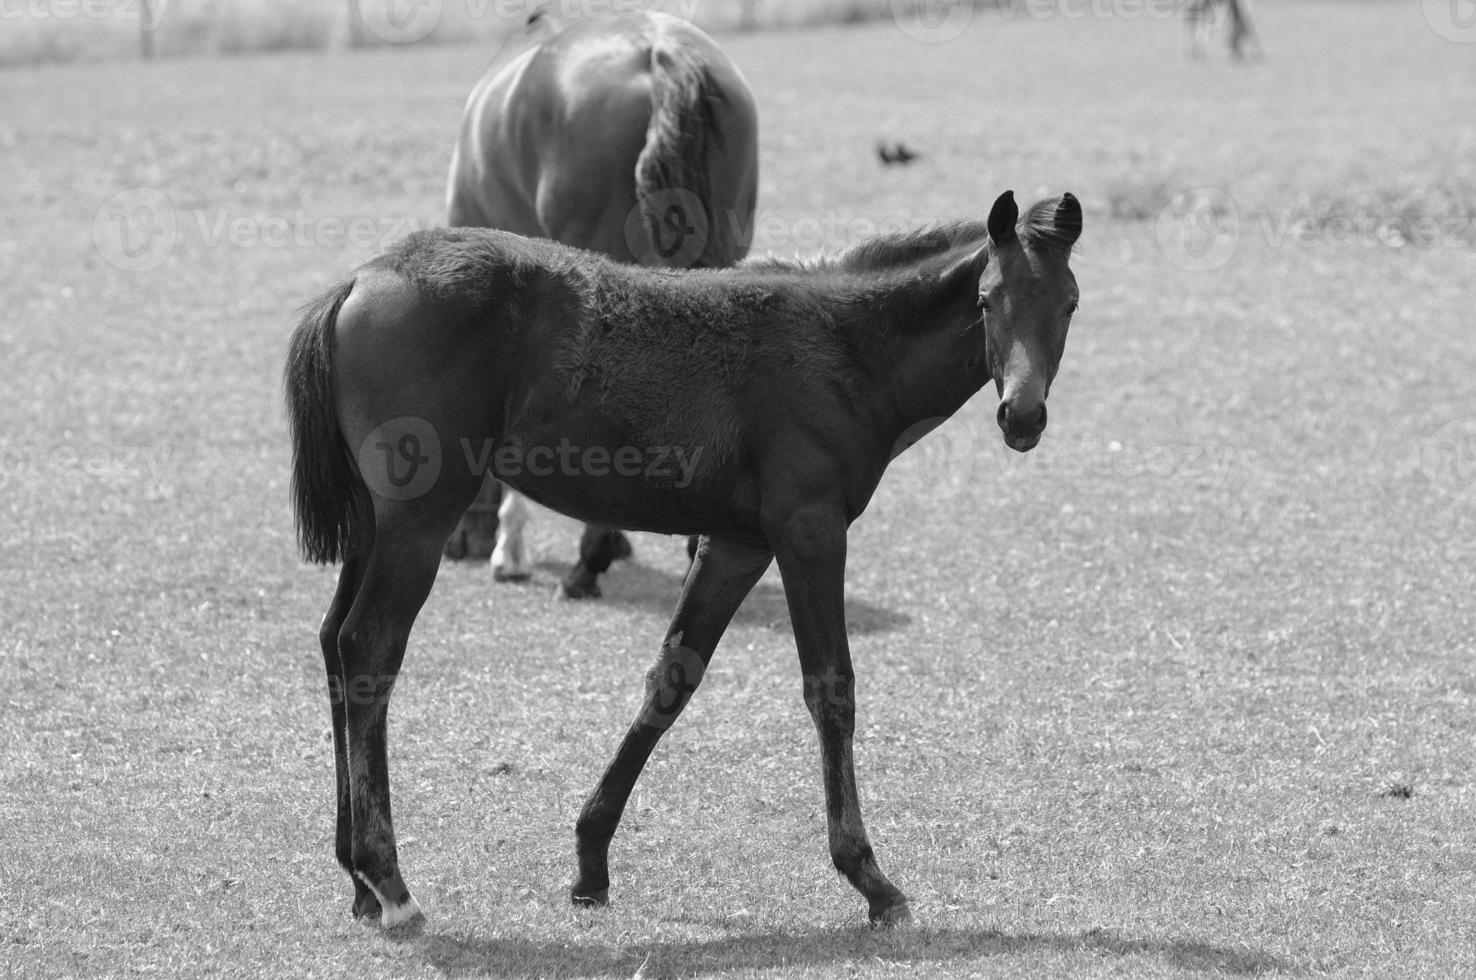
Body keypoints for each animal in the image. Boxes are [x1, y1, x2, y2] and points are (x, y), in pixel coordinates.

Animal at [281, 187, 1080, 932]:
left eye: (1070, 304)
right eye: (987, 301)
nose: (1023, 415)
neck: (848, 349)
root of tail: (358, 281)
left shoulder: (737, 544)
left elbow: (672, 679)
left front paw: (590, 862)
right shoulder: (811, 531)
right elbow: (832, 690)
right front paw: (872, 880)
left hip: (373, 524)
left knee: (333, 642)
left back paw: (358, 882)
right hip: (419, 517)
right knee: (369, 648)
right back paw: (391, 885)